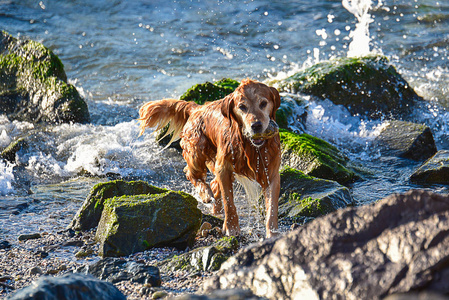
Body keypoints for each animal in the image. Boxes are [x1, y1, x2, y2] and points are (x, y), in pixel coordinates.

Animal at [138, 78, 282, 238]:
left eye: (263, 103)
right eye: (242, 107)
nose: (256, 126)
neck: (250, 147)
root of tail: (197, 107)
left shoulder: (271, 172)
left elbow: (272, 208)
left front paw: (273, 234)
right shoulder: (224, 169)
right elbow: (229, 202)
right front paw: (231, 228)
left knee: (213, 184)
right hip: (197, 151)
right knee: (191, 174)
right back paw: (205, 193)